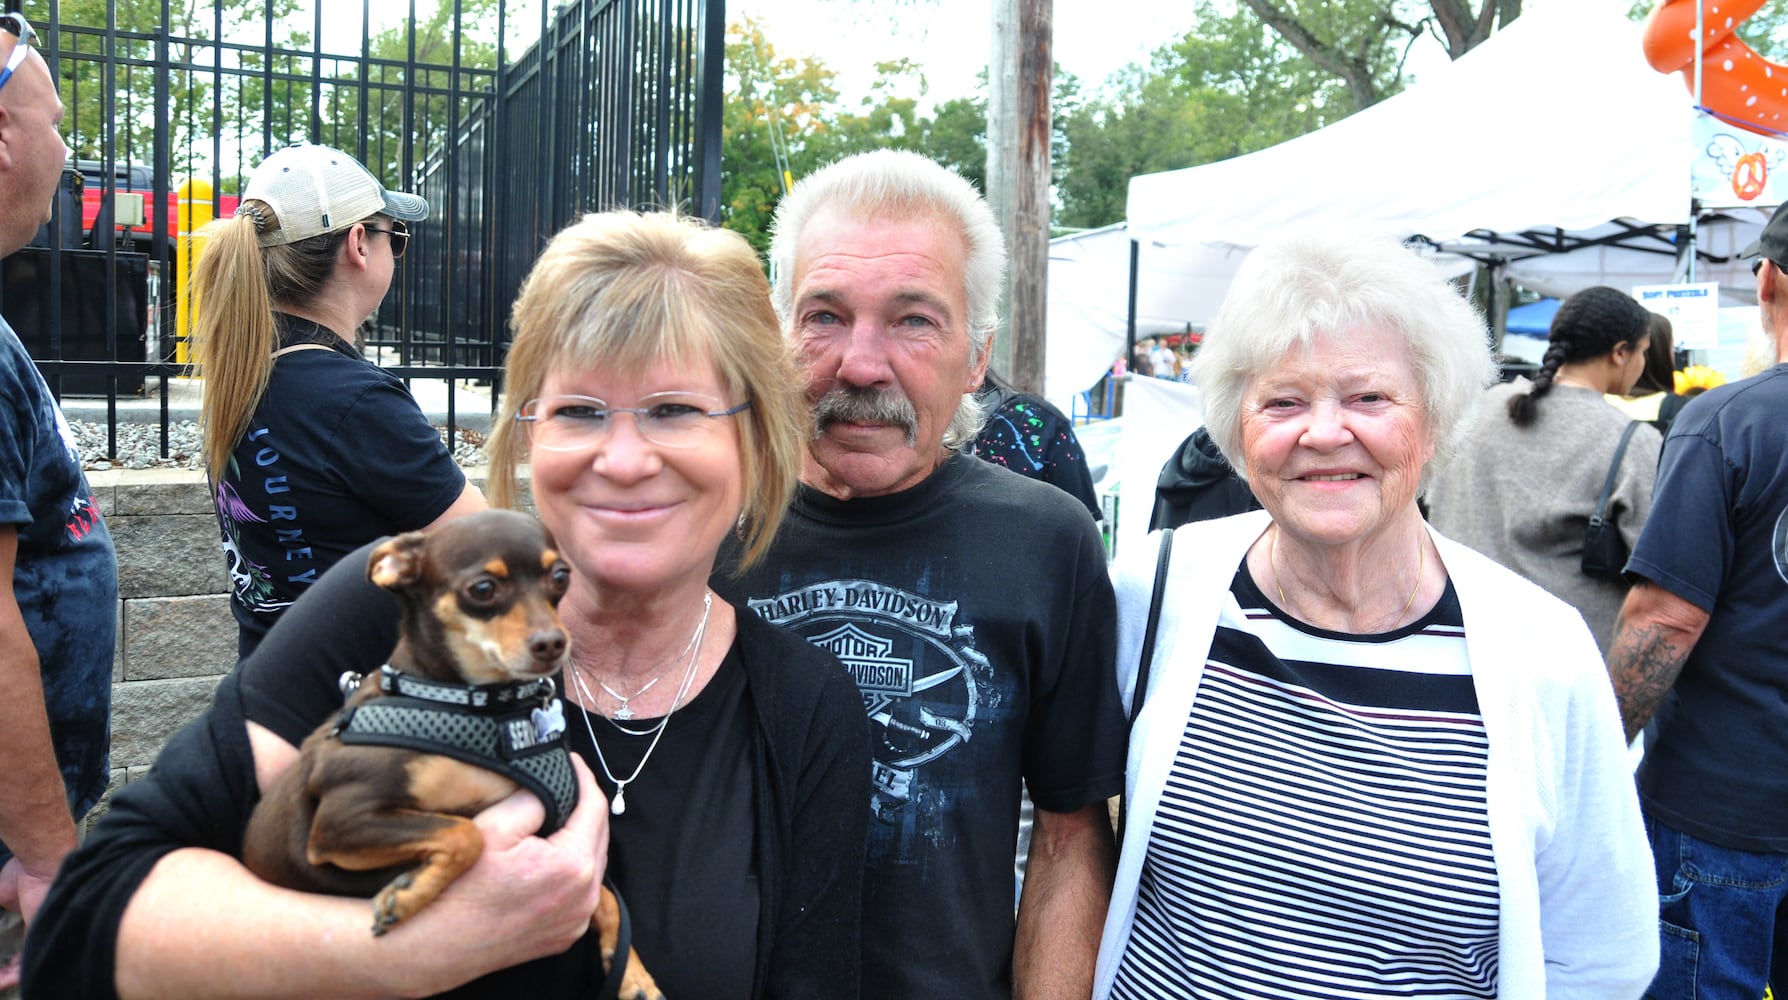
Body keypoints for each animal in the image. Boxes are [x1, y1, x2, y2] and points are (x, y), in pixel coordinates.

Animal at [237, 511, 657, 994]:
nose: (552, 642)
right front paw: (408, 893)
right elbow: (465, 833)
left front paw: (633, 974)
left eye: (560, 577)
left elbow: (604, 897)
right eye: (483, 589)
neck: (475, 706)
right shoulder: (342, 819)